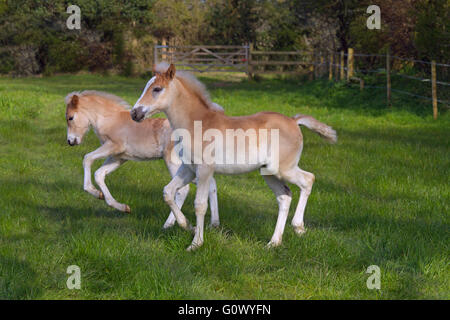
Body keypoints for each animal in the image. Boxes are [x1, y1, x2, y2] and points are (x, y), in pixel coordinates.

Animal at [65, 91, 220, 229]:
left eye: (70, 118)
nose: (71, 141)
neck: (110, 119)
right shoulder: (118, 157)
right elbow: (99, 174)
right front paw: (119, 205)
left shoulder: (113, 147)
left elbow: (87, 158)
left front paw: (93, 191)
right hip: (193, 168)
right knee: (211, 184)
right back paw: (214, 223)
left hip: (175, 162)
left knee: (183, 190)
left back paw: (170, 224)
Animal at [132, 63, 336, 251]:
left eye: (157, 89)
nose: (134, 113)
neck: (197, 124)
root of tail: (294, 121)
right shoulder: (188, 168)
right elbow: (168, 192)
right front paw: (187, 226)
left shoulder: (205, 169)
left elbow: (200, 204)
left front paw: (196, 243)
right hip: (268, 172)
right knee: (285, 197)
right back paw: (274, 242)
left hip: (283, 169)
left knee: (308, 179)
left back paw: (298, 227)